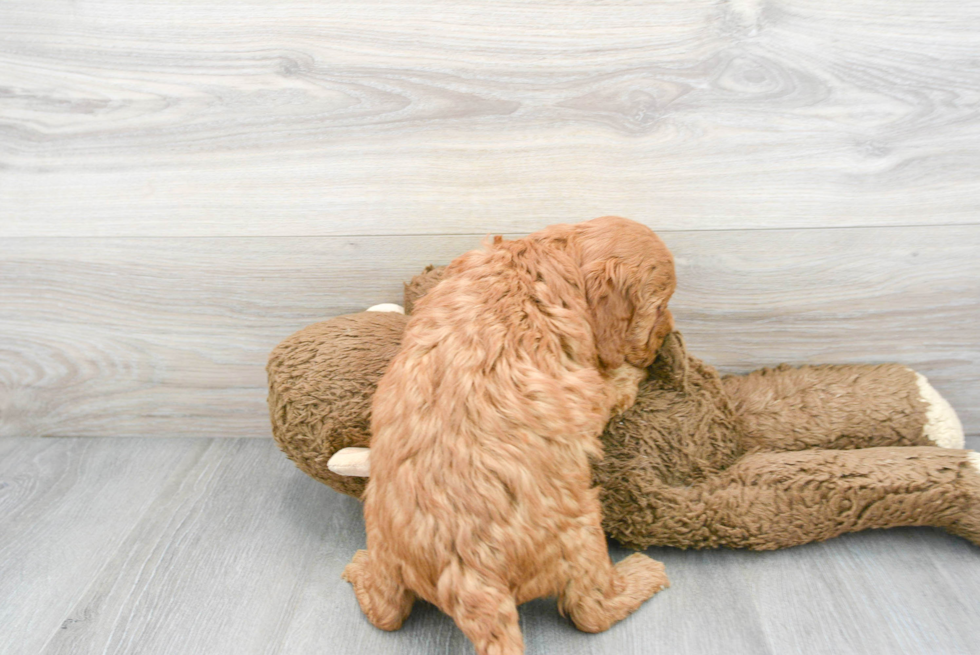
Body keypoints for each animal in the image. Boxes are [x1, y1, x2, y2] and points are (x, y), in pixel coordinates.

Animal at [342, 217, 672, 655]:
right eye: (660, 307)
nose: (668, 336)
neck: (549, 256)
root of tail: (470, 581)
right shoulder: (592, 389)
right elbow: (615, 383)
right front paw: (632, 373)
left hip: (382, 537)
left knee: (385, 611)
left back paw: (359, 568)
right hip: (583, 529)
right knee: (592, 610)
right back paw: (642, 574)